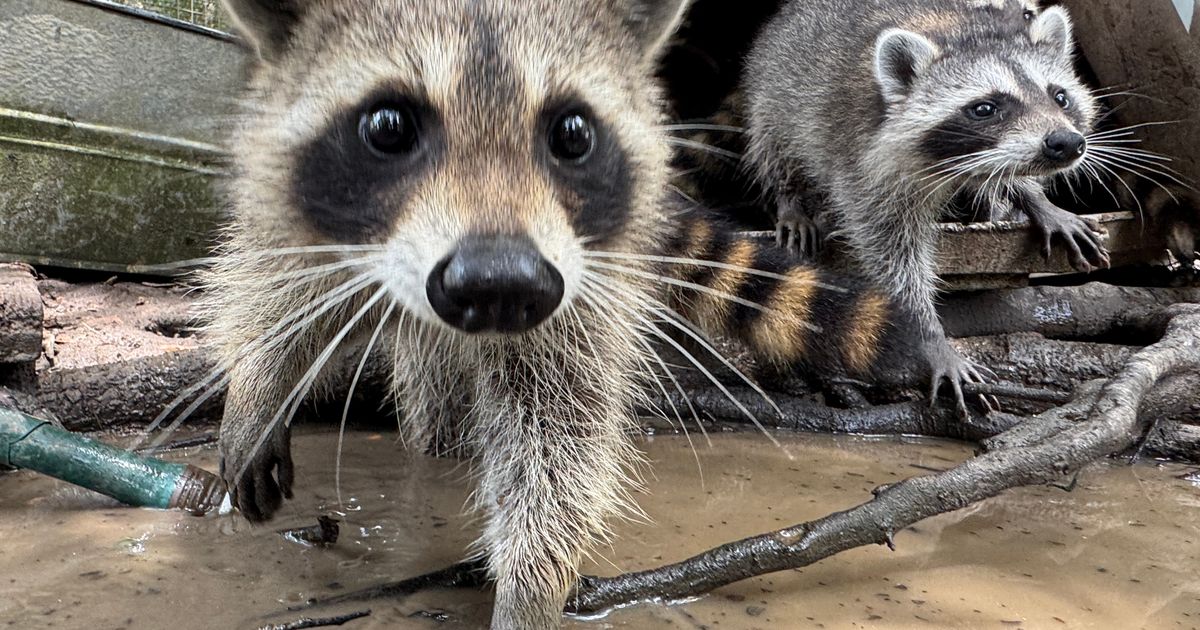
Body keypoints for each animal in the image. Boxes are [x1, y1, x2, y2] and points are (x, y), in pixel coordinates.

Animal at [209, 0, 921, 627]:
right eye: (387, 128)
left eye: (573, 136)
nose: (496, 285)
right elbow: (277, 283)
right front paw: (257, 390)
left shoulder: (578, 275)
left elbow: (559, 422)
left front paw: (531, 583)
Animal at [744, 0, 1111, 406]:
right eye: (985, 108)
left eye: (1060, 96)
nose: (1066, 142)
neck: (962, 31)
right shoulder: (863, 159)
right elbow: (892, 255)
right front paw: (928, 334)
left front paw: (1034, 197)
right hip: (775, 91)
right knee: (776, 145)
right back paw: (791, 201)